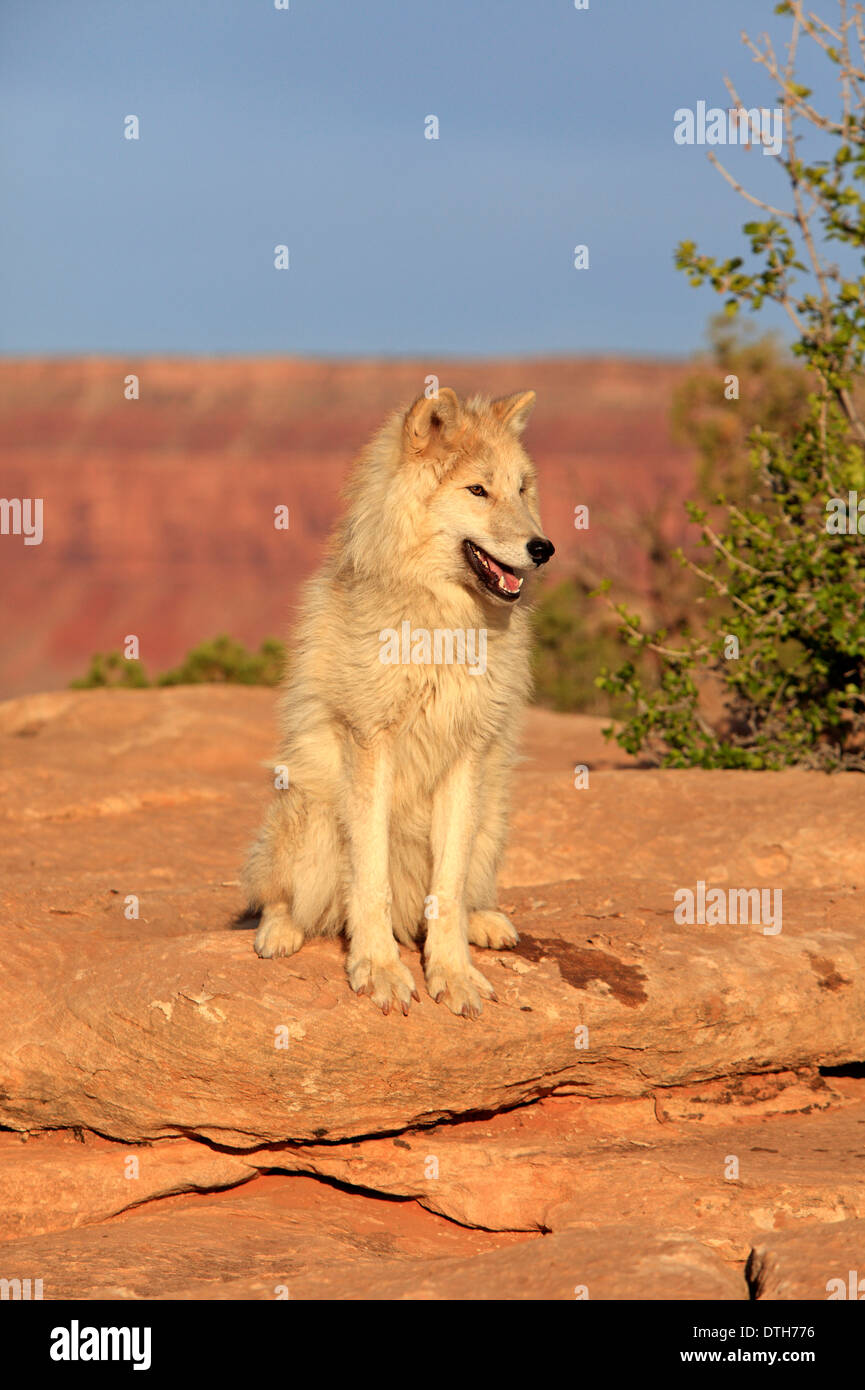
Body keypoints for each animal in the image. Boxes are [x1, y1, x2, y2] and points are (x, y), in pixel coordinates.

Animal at [243, 386, 554, 1017]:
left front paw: (453, 974)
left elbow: (449, 887)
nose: (544, 548)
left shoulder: (465, 757)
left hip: (493, 814)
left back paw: (485, 921)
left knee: (467, 890)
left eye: (522, 488)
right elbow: (371, 882)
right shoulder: (370, 745)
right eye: (477, 490)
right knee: (280, 895)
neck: (444, 626)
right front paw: (380, 969)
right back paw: (279, 933)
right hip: (311, 815)